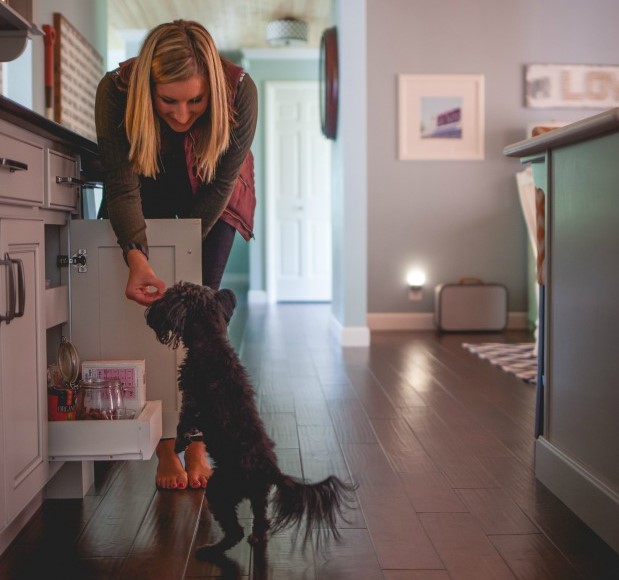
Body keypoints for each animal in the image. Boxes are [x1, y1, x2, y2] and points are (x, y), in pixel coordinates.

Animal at [145, 280, 356, 556]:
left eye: (169, 296)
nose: (149, 312)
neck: (211, 341)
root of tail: (270, 470)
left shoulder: (191, 399)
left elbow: (183, 422)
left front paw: (180, 443)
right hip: (258, 496)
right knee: (261, 521)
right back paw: (255, 540)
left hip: (221, 489)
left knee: (235, 530)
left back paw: (210, 550)